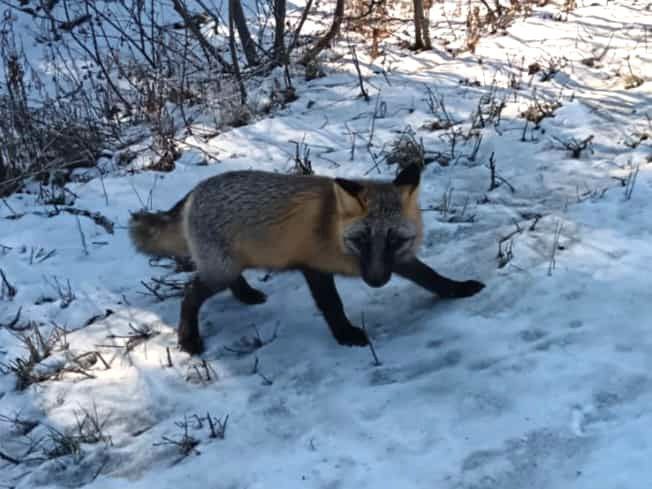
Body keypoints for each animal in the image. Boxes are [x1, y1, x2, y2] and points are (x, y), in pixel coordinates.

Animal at [129, 164, 484, 354]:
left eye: (394, 240)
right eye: (361, 239)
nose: (375, 282)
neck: (333, 230)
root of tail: (193, 193)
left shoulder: (397, 261)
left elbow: (432, 277)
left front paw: (460, 289)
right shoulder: (314, 267)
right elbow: (333, 307)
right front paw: (347, 336)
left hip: (228, 266)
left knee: (225, 283)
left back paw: (247, 295)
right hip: (219, 271)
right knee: (190, 294)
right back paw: (188, 338)